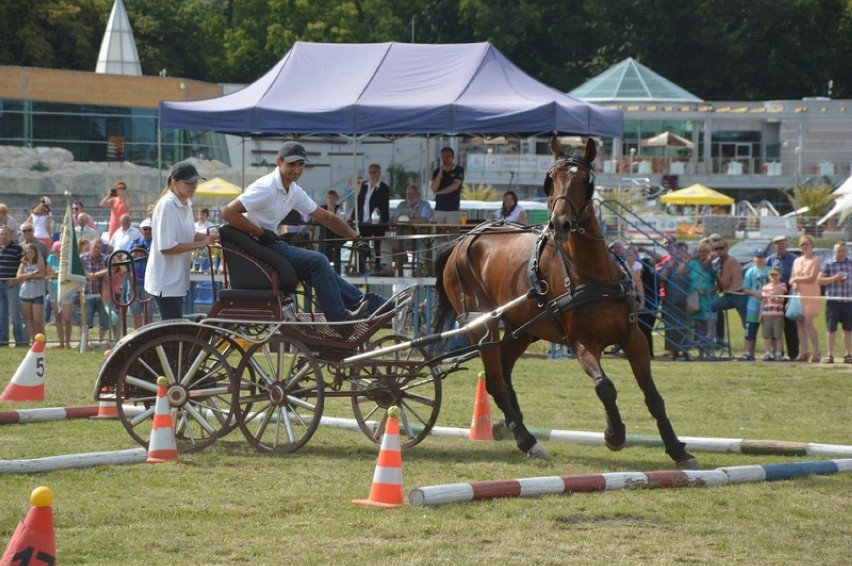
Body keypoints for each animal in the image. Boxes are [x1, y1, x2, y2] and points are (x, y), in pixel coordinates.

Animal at [436, 138, 704, 470]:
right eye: (551, 181)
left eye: (585, 181)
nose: (559, 224)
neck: (592, 274)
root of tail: (462, 241)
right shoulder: (581, 342)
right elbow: (605, 386)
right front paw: (614, 435)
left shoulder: (634, 339)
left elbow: (653, 395)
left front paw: (678, 450)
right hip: (483, 326)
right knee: (496, 382)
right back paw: (528, 441)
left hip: (523, 329)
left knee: (505, 374)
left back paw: (510, 426)